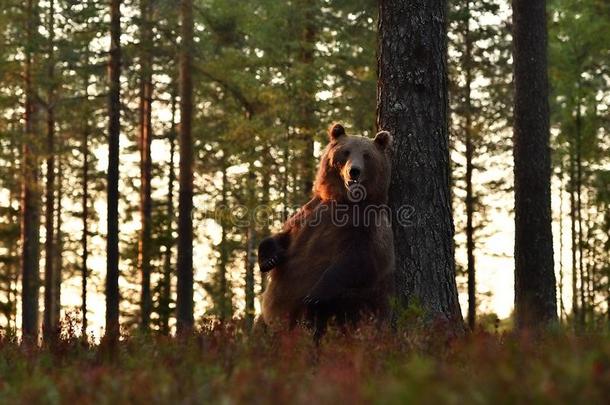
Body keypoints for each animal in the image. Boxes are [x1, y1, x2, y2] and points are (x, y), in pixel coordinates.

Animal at [256, 123, 394, 338]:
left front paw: (314, 295)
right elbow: (285, 234)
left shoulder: (367, 226)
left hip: (352, 306)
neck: (343, 200)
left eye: (366, 155)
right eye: (346, 152)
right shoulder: (310, 212)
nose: (354, 171)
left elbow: (358, 260)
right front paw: (269, 258)